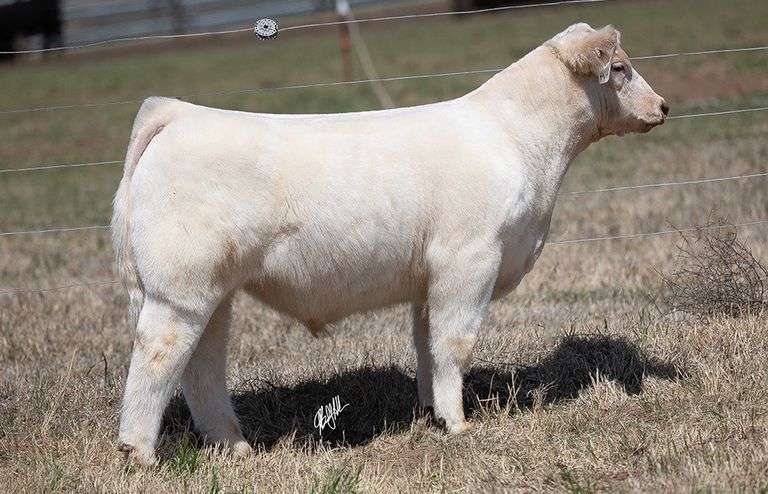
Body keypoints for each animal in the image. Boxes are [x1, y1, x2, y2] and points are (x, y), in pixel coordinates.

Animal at [112, 23, 668, 465]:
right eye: (620, 68)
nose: (663, 106)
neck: (515, 140)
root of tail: (181, 113)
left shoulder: (430, 277)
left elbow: (426, 342)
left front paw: (429, 412)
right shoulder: (469, 259)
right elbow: (454, 343)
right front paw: (459, 424)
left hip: (213, 290)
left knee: (202, 364)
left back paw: (234, 446)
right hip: (179, 289)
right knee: (158, 355)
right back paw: (140, 454)